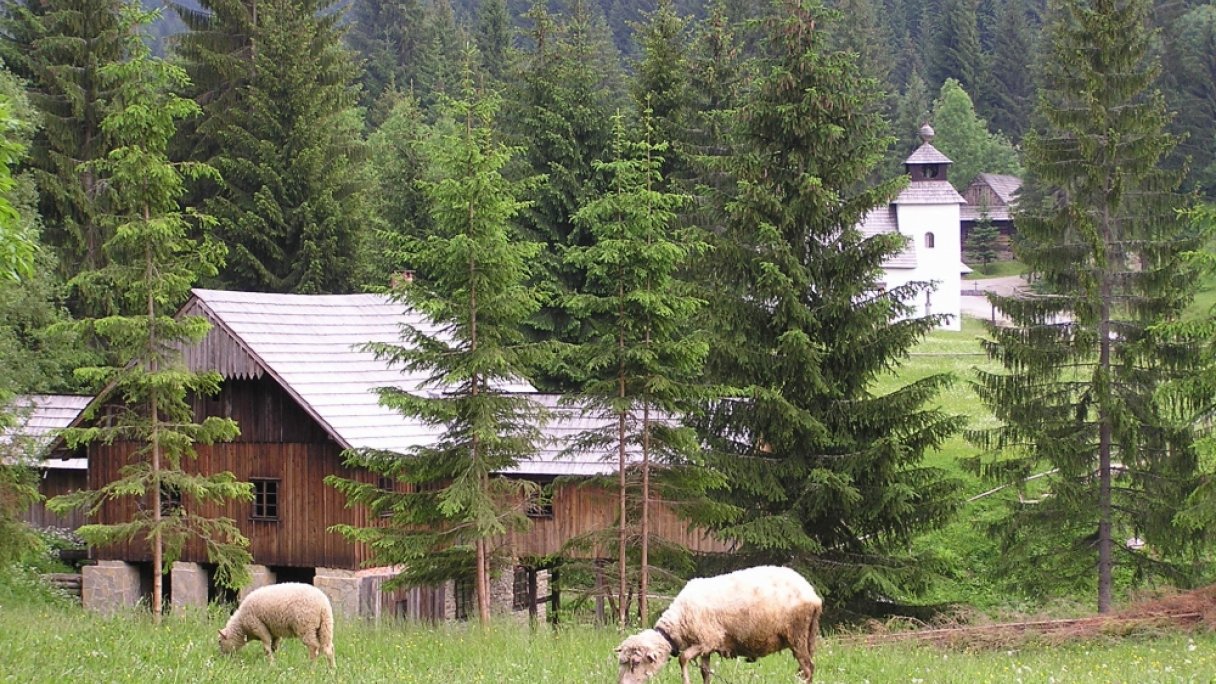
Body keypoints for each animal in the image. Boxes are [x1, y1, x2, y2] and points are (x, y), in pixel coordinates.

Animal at [612, 564, 822, 681]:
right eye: (622, 662)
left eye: (635, 662)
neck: (678, 623)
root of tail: (812, 594)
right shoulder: (706, 647)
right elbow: (705, 671)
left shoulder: (707, 639)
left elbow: (683, 658)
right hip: (805, 636)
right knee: (806, 669)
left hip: (797, 633)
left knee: (808, 669)